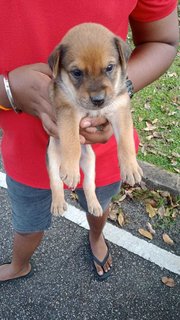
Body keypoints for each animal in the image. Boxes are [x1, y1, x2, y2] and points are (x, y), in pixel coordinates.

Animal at [47, 23, 143, 218]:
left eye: (109, 67)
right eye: (76, 72)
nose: (98, 100)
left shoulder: (120, 110)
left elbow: (126, 141)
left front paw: (131, 167)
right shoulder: (68, 112)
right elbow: (72, 142)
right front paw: (70, 171)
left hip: (91, 163)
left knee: (89, 185)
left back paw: (95, 205)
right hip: (52, 158)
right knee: (56, 183)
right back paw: (59, 203)